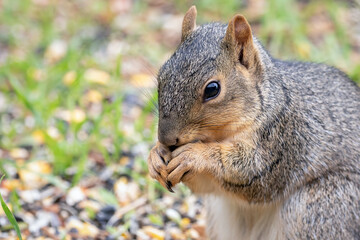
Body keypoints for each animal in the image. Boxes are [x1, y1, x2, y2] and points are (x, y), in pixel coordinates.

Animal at [147, 6, 360, 240]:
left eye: (212, 89)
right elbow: (208, 186)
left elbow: (252, 173)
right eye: (162, 77)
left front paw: (195, 155)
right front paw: (155, 157)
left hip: (318, 207)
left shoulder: (284, 139)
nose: (166, 139)